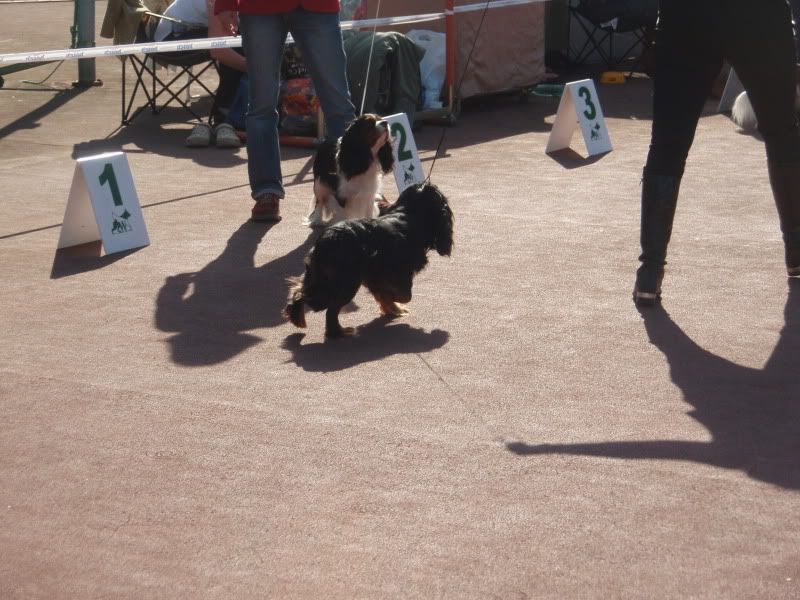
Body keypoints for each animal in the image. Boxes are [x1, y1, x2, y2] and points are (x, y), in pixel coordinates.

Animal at [286, 183, 454, 338]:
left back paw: (297, 318)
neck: (409, 215)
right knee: (330, 309)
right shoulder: (398, 273)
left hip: (323, 279)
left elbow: (385, 294)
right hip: (345, 283)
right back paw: (339, 332)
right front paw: (393, 304)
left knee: (301, 292)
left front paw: (391, 308)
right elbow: (405, 296)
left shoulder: (376, 276)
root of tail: (326, 240)